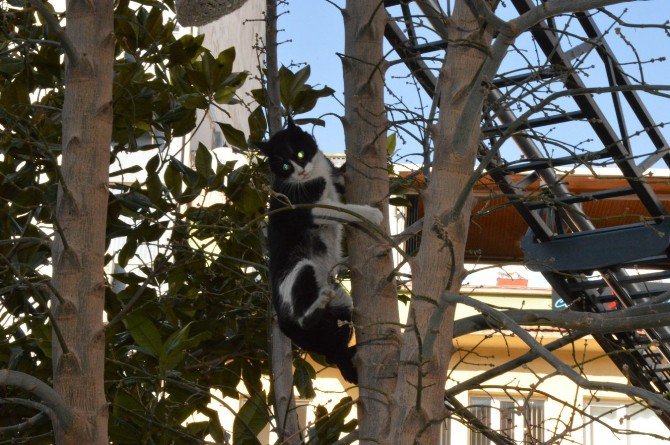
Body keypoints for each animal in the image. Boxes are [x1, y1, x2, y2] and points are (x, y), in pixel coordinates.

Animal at [258, 118, 384, 382]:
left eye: (300, 153)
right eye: (284, 165)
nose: (301, 171)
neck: (314, 175)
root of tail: (282, 323)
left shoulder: (331, 179)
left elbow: (339, 181)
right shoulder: (304, 208)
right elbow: (343, 209)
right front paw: (370, 213)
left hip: (341, 304)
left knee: (333, 347)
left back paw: (347, 354)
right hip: (300, 271)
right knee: (306, 318)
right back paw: (312, 312)